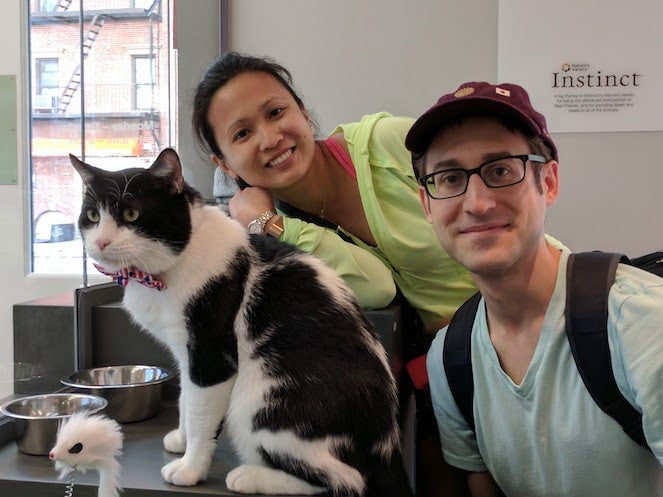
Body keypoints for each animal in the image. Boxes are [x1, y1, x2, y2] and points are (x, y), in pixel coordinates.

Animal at [70, 148, 412, 496]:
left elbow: (200, 413)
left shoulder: (211, 356)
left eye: (131, 214)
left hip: (260, 400)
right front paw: (181, 438)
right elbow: (185, 398)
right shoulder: (185, 351)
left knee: (346, 480)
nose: (101, 242)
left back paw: (250, 476)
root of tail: (387, 449)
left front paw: (190, 468)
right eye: (93, 217)